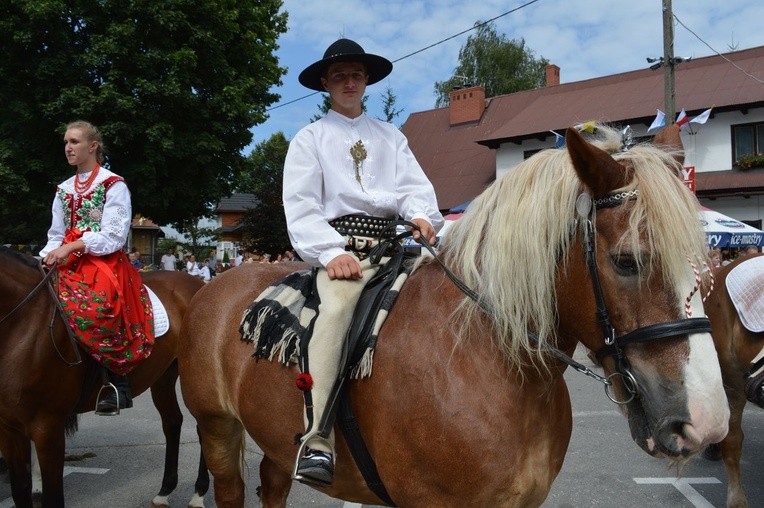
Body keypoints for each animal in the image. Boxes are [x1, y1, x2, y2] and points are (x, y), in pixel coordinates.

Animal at [0, 244, 207, 506]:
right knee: (172, 422)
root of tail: (200, 283)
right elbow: (20, 489)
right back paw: (164, 491)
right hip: (163, 376)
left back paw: (198, 494)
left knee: (203, 428)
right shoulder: (9, 429)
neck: (22, 325)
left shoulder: (48, 427)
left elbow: (53, 495)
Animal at [178, 124, 728, 508]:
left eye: (705, 266)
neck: (484, 361)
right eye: (626, 261)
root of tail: (215, 286)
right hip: (217, 430)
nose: (705, 422)